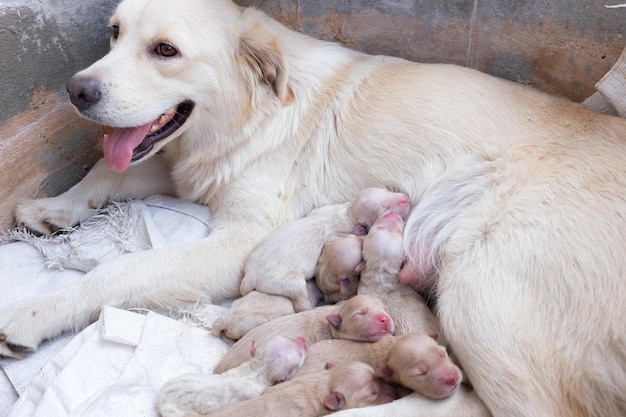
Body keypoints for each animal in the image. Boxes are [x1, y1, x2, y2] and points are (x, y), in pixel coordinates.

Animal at [157, 334, 306, 416]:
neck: (258, 369)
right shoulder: (254, 393)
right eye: (299, 356)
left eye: (287, 337)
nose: (303, 340)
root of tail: (161, 400)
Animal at [239, 187, 410, 310]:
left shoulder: (323, 209)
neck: (349, 214)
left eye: (386, 191)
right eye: (385, 208)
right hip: (281, 281)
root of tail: (250, 275)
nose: (405, 199)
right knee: (298, 295)